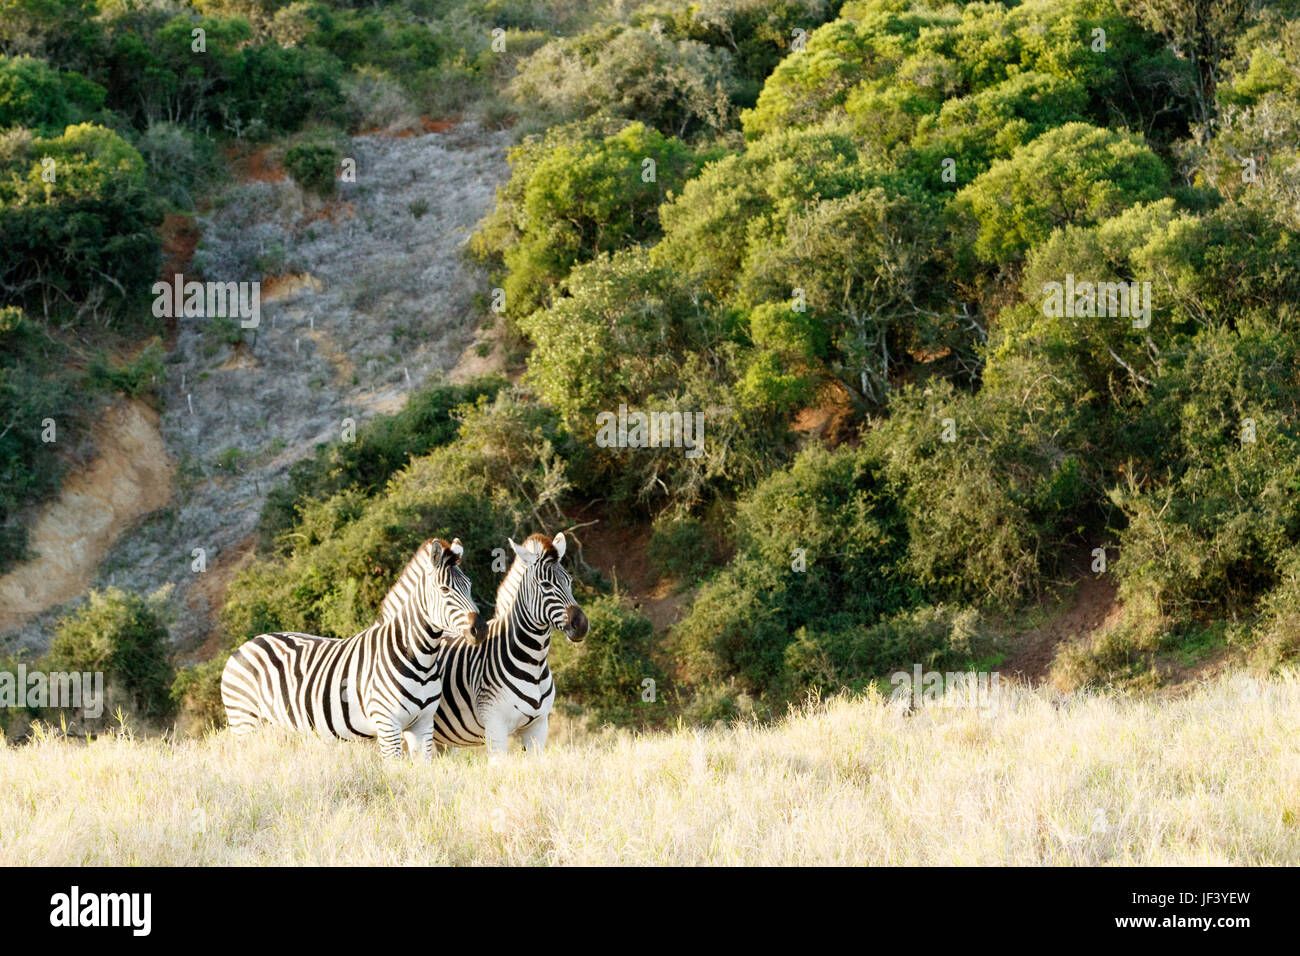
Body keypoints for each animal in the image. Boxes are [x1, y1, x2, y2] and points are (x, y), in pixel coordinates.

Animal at [218, 541, 488, 759]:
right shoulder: (387, 724)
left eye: (469, 585)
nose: (481, 629)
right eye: (444, 590)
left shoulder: (422, 724)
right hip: (245, 723)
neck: (420, 657)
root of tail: (246, 645)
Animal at [379, 530, 590, 754]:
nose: (582, 625)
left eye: (569, 581)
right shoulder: (495, 725)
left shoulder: (538, 726)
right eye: (546, 585)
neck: (534, 663)